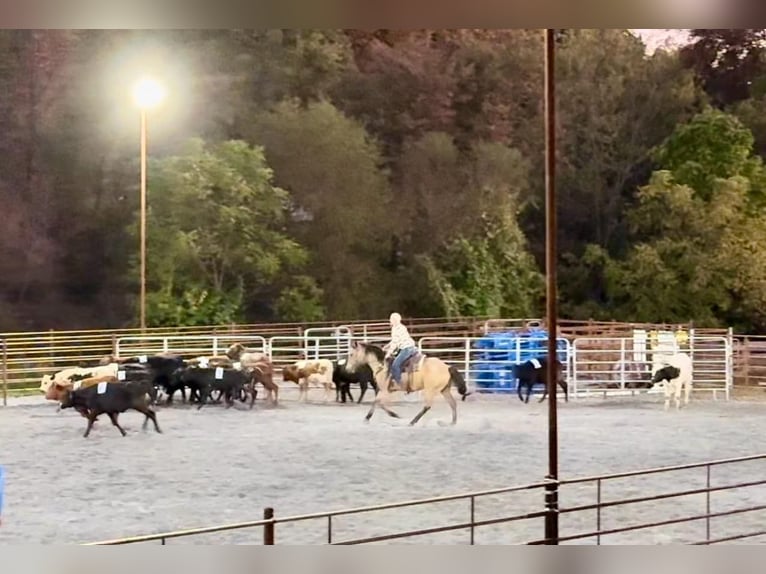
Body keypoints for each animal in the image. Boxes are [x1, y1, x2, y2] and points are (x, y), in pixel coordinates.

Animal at [344, 342, 472, 428]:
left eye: (351, 354)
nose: (347, 369)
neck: (382, 366)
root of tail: (447, 367)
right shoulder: (384, 391)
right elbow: (376, 403)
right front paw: (367, 418)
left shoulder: (385, 390)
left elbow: (379, 403)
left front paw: (394, 415)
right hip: (444, 390)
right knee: (453, 404)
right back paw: (451, 423)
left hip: (430, 390)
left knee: (427, 406)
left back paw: (412, 422)